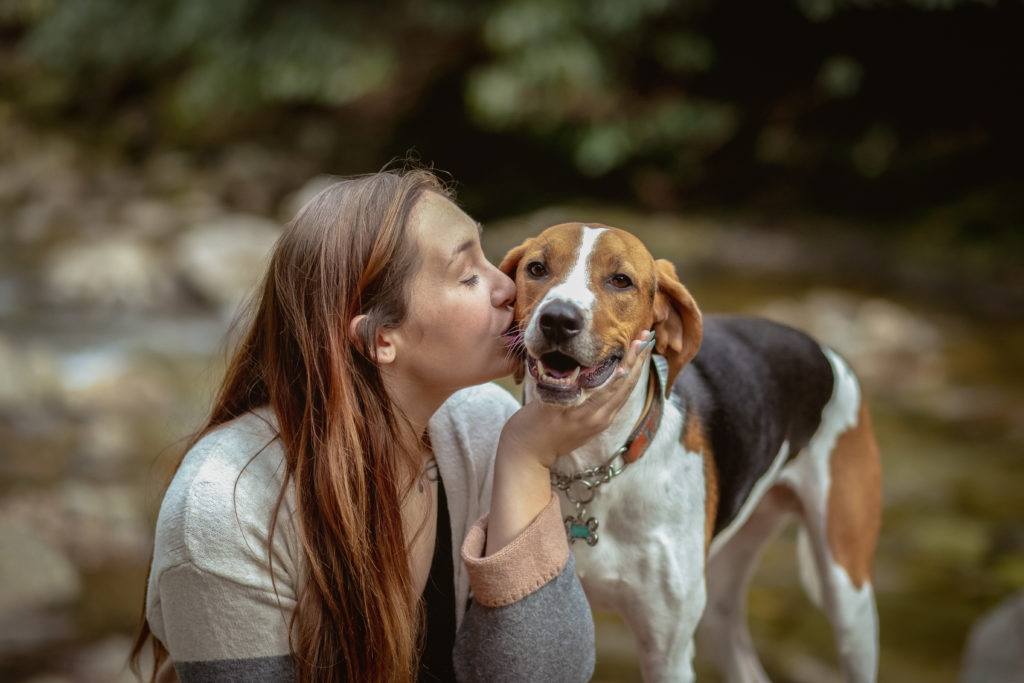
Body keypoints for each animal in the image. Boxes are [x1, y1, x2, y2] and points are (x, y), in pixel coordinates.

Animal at [501, 224, 880, 683]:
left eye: (621, 280)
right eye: (536, 268)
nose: (558, 318)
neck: (594, 467)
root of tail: (828, 352)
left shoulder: (668, 653)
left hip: (847, 597)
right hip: (721, 601)